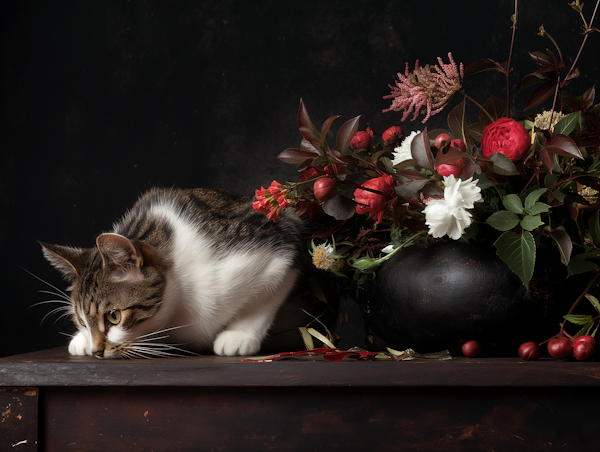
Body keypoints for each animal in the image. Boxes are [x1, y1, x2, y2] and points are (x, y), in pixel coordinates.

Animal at [39, 186, 310, 356]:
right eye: (81, 320)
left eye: (113, 316)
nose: (96, 351)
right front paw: (81, 339)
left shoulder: (283, 240)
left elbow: (267, 295)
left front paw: (239, 335)